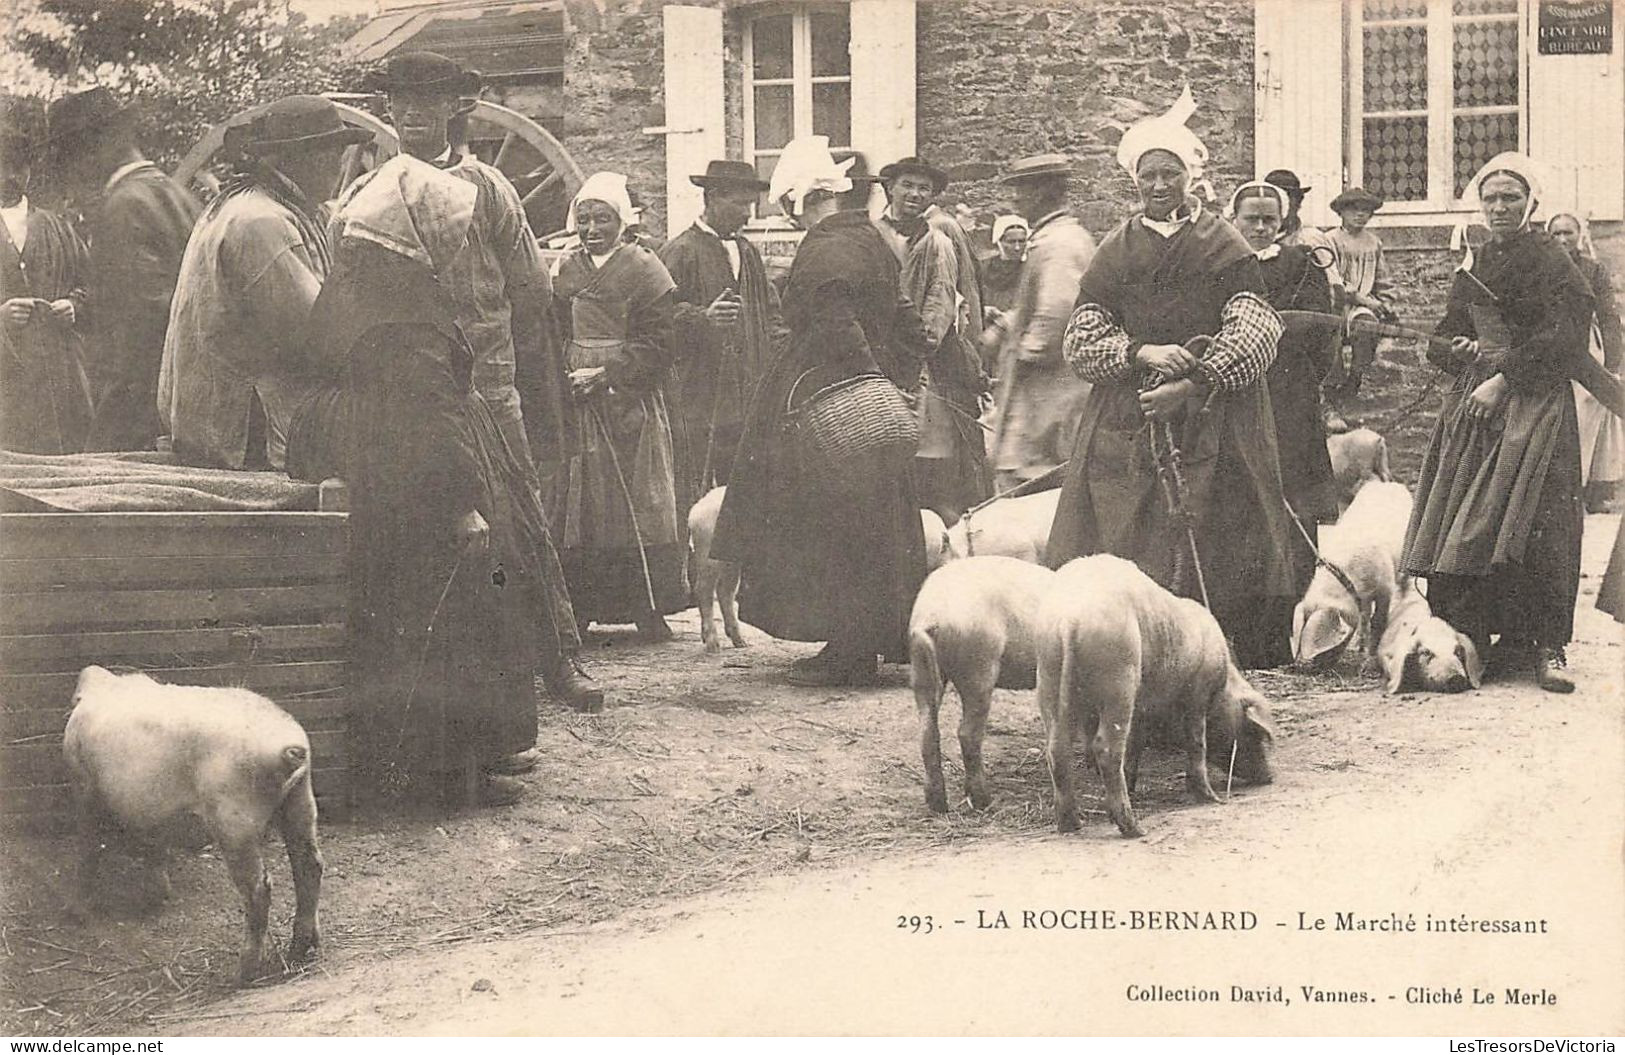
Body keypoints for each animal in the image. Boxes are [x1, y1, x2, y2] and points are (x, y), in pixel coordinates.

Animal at [65, 666, 325, 981]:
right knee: (309, 865)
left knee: (259, 888)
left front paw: (75, 913)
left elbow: (87, 847)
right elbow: (152, 844)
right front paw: (159, 896)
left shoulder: (84, 786)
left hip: (234, 818)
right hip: (300, 800)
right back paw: (301, 950)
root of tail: (290, 747)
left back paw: (243, 973)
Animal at [689, 484, 949, 650]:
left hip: (731, 560)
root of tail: (695, 511)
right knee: (704, 590)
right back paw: (713, 646)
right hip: (708, 555)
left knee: (725, 592)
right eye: (946, 549)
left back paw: (741, 643)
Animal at [903, 559, 1053, 816]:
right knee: (967, 733)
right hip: (978, 668)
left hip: (921, 667)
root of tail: (931, 614)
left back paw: (938, 804)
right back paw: (984, 800)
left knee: (928, 731)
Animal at [1033, 555, 1274, 832]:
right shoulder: (1198, 693)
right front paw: (1211, 798)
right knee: (1106, 748)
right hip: (1119, 676)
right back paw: (1134, 829)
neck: (1222, 687)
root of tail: (1069, 619)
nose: (1269, 777)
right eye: (1252, 730)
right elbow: (1196, 741)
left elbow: (1136, 743)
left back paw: (1071, 825)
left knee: (1057, 748)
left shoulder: (1141, 708)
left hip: (1048, 672)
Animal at [1287, 477, 1417, 666]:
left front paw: (1370, 660)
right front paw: (1361, 649)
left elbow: (1378, 620)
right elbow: (1364, 616)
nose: (1318, 666)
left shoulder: (1385, 588)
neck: (1348, 579)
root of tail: (1388, 484)